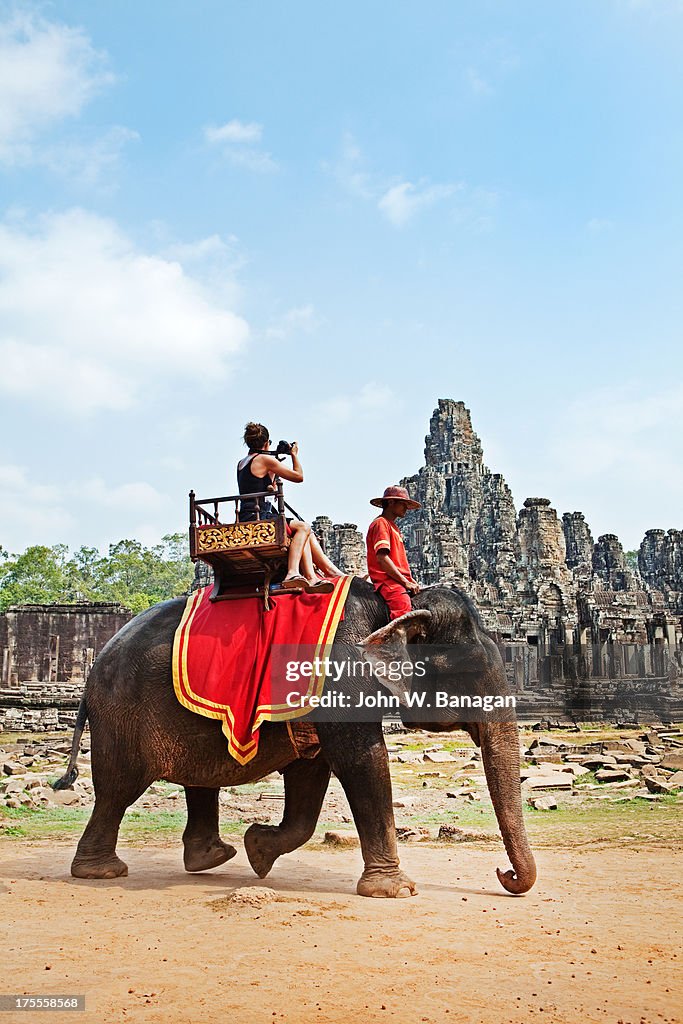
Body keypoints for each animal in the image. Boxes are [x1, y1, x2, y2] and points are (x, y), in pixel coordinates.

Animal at [56, 581, 536, 901]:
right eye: (472, 670)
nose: (503, 875)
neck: (397, 605)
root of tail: (90, 679)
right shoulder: (342, 677)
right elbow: (362, 761)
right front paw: (397, 891)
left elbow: (311, 774)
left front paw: (258, 851)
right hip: (122, 717)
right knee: (118, 791)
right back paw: (102, 873)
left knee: (197, 778)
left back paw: (211, 858)